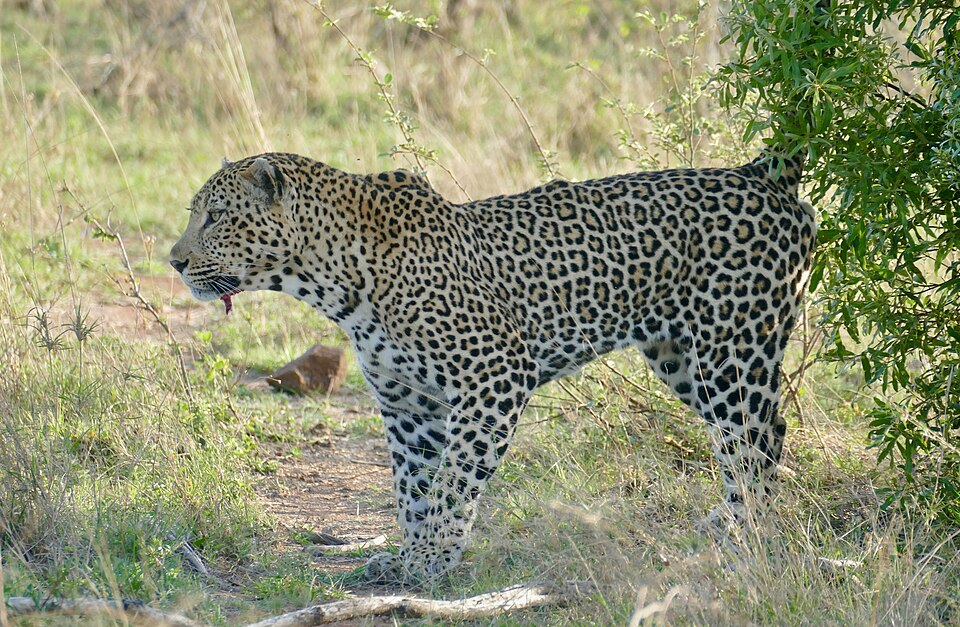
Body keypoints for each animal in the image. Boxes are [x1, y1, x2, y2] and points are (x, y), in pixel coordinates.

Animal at [169, 151, 816, 582]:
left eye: (216, 216)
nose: (174, 262)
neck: (332, 279)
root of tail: (760, 174)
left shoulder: (494, 373)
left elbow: (454, 481)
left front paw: (431, 561)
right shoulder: (409, 405)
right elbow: (412, 489)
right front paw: (409, 558)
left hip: (732, 351)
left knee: (753, 441)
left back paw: (742, 543)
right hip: (682, 359)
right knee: (766, 432)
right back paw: (727, 527)